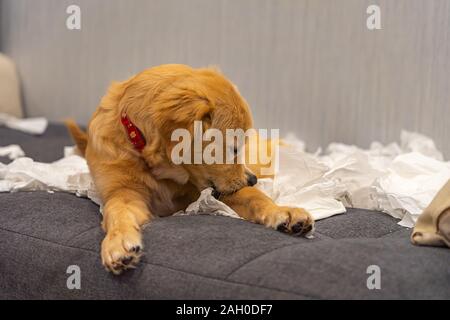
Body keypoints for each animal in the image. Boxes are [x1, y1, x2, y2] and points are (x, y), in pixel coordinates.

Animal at [67, 63, 312, 274]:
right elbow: (116, 212)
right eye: (233, 149)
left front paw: (283, 212)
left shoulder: (215, 191)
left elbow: (256, 198)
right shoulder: (123, 193)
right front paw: (118, 243)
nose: (251, 180)